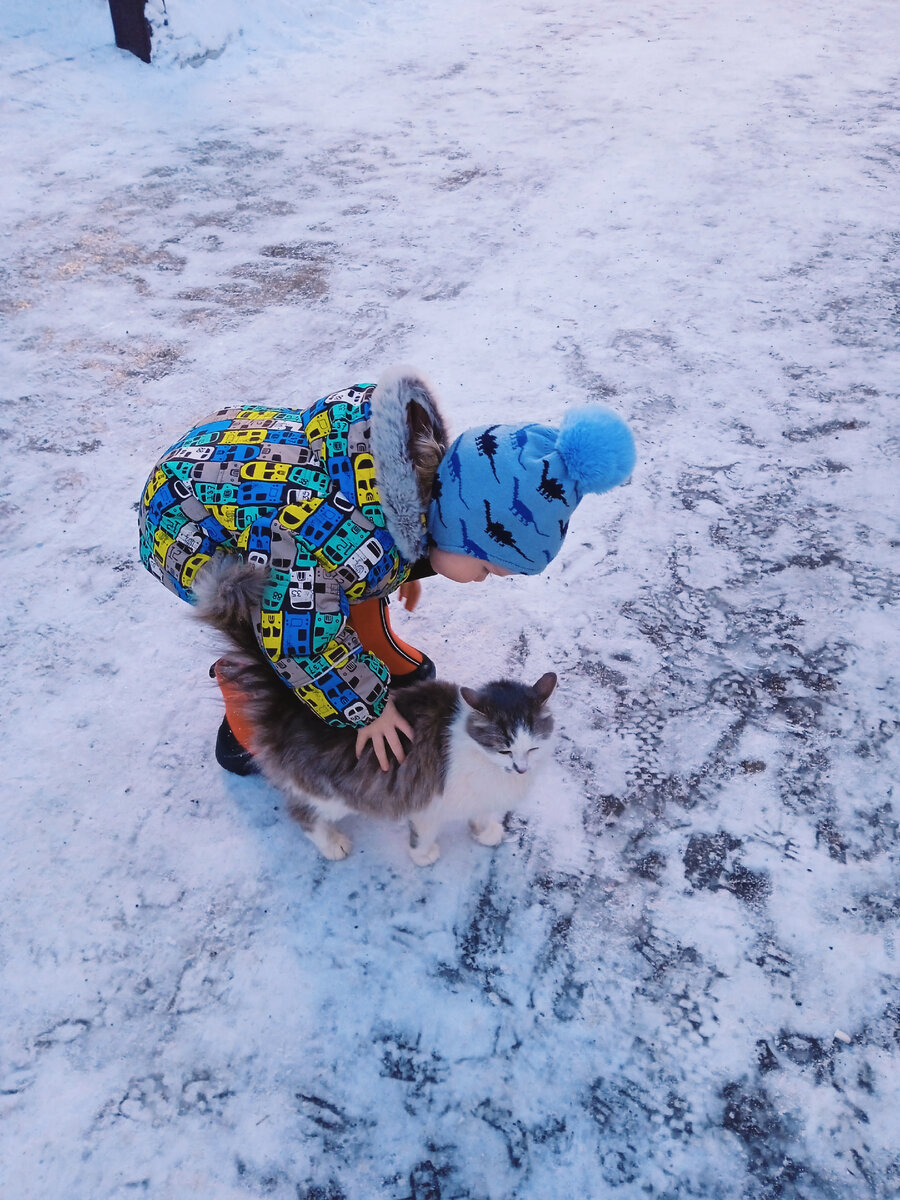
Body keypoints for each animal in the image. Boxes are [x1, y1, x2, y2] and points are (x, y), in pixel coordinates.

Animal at [196, 561, 556, 864]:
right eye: (504, 749)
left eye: (533, 748)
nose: (521, 768)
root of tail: (291, 706)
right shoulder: (430, 805)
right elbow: (423, 835)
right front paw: (424, 857)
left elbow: (480, 814)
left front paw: (486, 832)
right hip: (331, 795)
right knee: (302, 814)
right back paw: (333, 845)